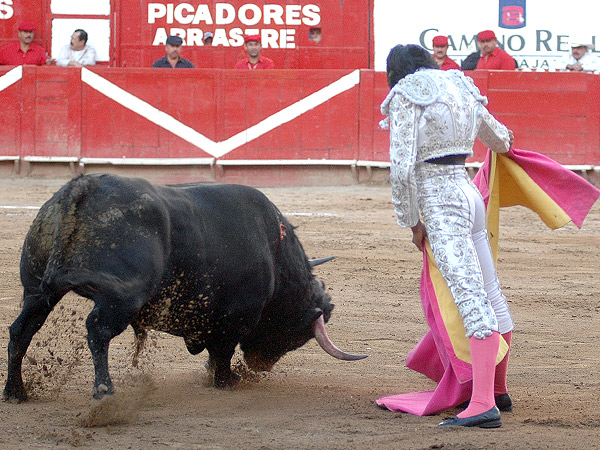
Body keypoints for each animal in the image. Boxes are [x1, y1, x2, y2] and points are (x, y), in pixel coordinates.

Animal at [3, 174, 366, 402]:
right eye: (298, 332)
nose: (260, 367)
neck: (274, 251)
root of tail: (85, 186)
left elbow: (216, 352)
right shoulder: (235, 318)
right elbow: (223, 352)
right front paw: (227, 381)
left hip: (35, 290)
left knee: (21, 330)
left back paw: (15, 392)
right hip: (120, 298)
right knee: (98, 331)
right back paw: (104, 391)